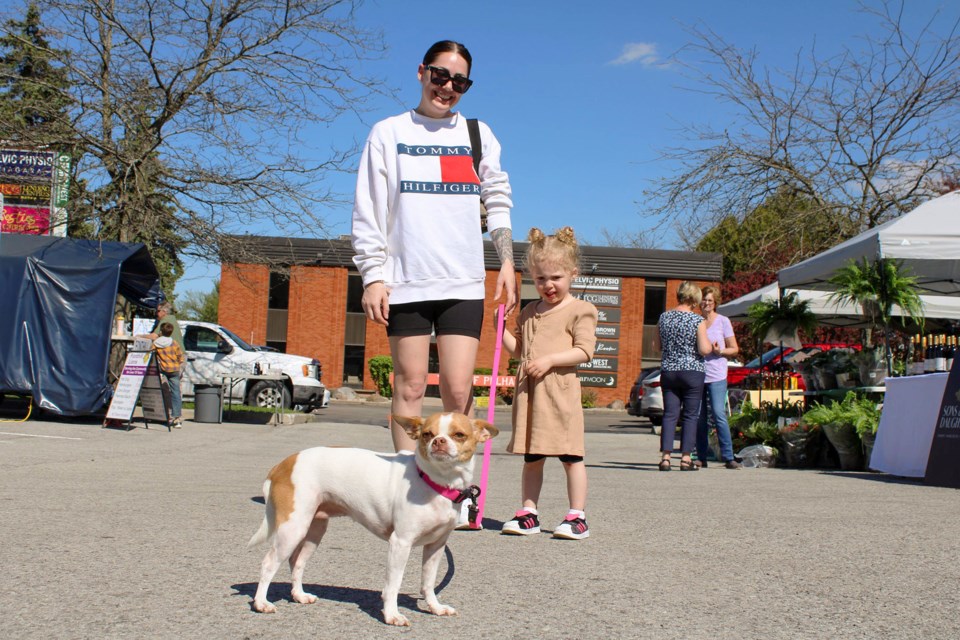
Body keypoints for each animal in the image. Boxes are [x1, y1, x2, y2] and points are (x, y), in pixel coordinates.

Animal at [248, 410, 498, 624]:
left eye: (459, 435)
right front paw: (392, 615)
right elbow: (393, 584)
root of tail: (283, 463)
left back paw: (299, 595)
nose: (438, 441)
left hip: (313, 531)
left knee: (297, 562)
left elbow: (428, 583)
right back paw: (261, 603)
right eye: (427, 434)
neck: (436, 483)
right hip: (293, 528)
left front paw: (434, 607)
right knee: (269, 563)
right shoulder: (400, 543)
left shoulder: (436, 546)